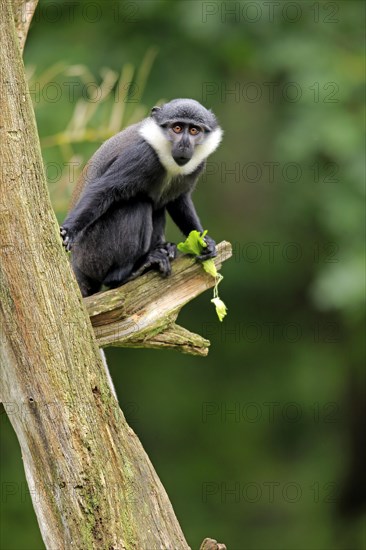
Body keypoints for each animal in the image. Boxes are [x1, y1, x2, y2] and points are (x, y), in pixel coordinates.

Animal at [60, 99, 222, 298]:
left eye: (194, 130)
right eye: (177, 128)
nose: (184, 144)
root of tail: (76, 264)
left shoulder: (197, 165)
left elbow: (178, 201)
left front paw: (205, 242)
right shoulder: (142, 155)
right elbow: (104, 189)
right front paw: (69, 231)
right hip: (93, 256)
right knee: (139, 203)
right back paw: (126, 273)